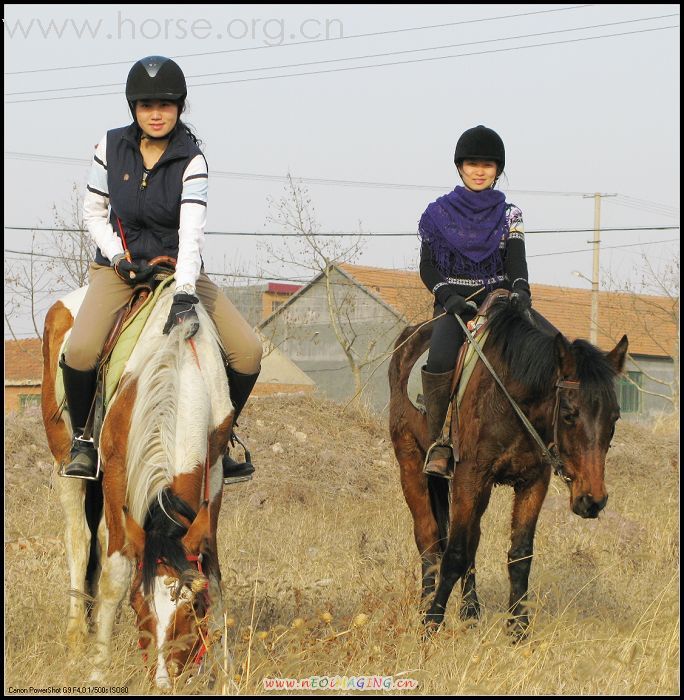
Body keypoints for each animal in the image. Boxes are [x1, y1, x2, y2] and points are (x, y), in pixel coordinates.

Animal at [44, 282, 235, 688]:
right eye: (137, 603)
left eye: (193, 607)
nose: (163, 680)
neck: (179, 369)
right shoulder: (117, 472)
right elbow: (115, 576)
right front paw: (99, 669)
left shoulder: (213, 477)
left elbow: (213, 571)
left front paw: (226, 673)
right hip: (65, 461)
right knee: (81, 541)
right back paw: (77, 643)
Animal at [388, 290, 628, 636]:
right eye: (569, 414)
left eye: (615, 417)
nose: (592, 501)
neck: (513, 399)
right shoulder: (469, 477)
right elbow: (454, 553)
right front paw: (431, 624)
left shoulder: (533, 482)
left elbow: (519, 554)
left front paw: (518, 630)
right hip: (410, 461)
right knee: (429, 538)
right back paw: (426, 604)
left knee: (471, 540)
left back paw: (470, 612)